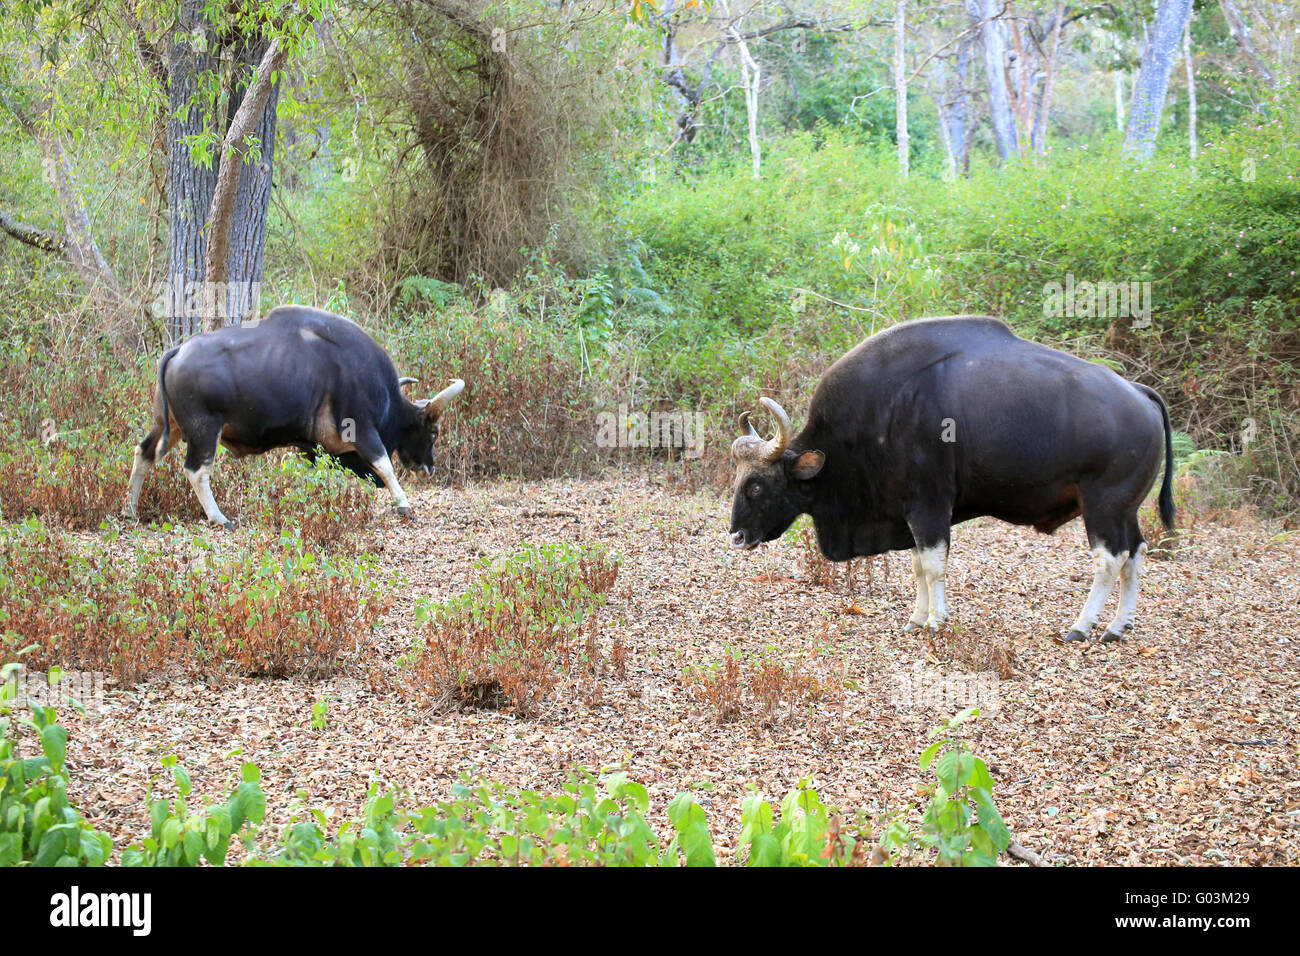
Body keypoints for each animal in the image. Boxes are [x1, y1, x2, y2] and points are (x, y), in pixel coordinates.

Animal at [122, 306, 465, 530]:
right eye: (433, 433)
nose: (429, 466)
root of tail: (178, 351)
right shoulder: (362, 429)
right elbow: (385, 466)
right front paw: (404, 505)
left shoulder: (309, 446)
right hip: (204, 429)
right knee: (196, 470)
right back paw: (219, 517)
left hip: (168, 425)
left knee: (144, 452)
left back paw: (129, 510)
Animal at [733, 319, 1180, 642]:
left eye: (756, 485)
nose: (735, 536)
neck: (881, 416)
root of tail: (1139, 392)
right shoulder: (909, 513)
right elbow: (917, 566)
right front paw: (916, 618)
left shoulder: (929, 507)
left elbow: (933, 567)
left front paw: (936, 620)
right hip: (1126, 509)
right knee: (1136, 552)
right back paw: (1117, 627)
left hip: (1103, 505)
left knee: (1109, 559)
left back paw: (1081, 627)